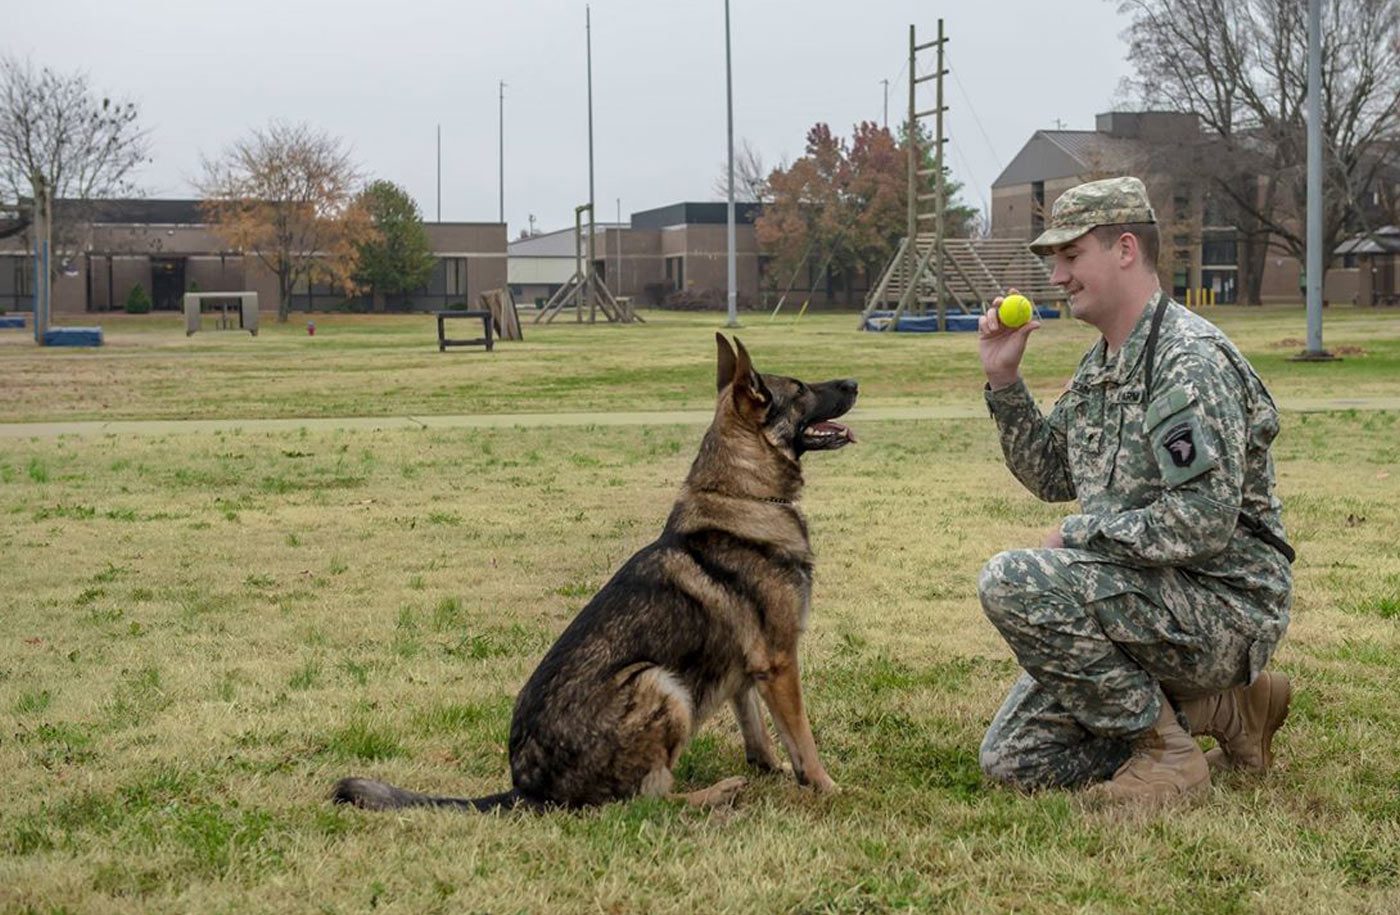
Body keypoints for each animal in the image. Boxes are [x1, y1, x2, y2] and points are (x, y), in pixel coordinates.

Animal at [336, 339, 851, 811]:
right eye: (801, 389)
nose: (853, 382)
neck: (742, 495)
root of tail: (527, 789)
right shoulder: (780, 662)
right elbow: (801, 737)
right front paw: (828, 787)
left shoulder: (746, 668)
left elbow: (757, 730)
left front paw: (773, 768)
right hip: (657, 683)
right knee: (643, 801)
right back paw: (715, 793)